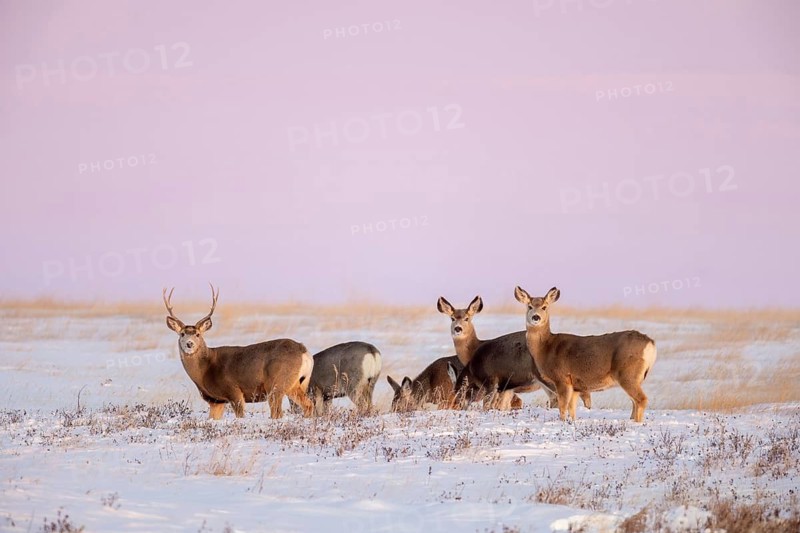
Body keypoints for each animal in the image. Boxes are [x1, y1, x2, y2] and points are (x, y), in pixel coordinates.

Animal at [163, 284, 314, 420]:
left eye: (198, 334)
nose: (189, 344)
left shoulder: (234, 391)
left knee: (277, 413)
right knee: (308, 405)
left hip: (276, 383)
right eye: (182, 334)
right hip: (295, 385)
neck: (206, 369)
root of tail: (304, 351)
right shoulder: (216, 401)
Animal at [514, 286, 657, 422]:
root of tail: (651, 343)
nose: (536, 317)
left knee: (641, 399)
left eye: (544, 307)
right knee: (635, 401)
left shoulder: (562, 378)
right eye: (529, 306)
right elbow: (572, 409)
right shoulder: (576, 385)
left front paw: (562, 422)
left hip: (627, 374)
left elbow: (562, 407)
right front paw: (573, 422)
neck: (546, 348)